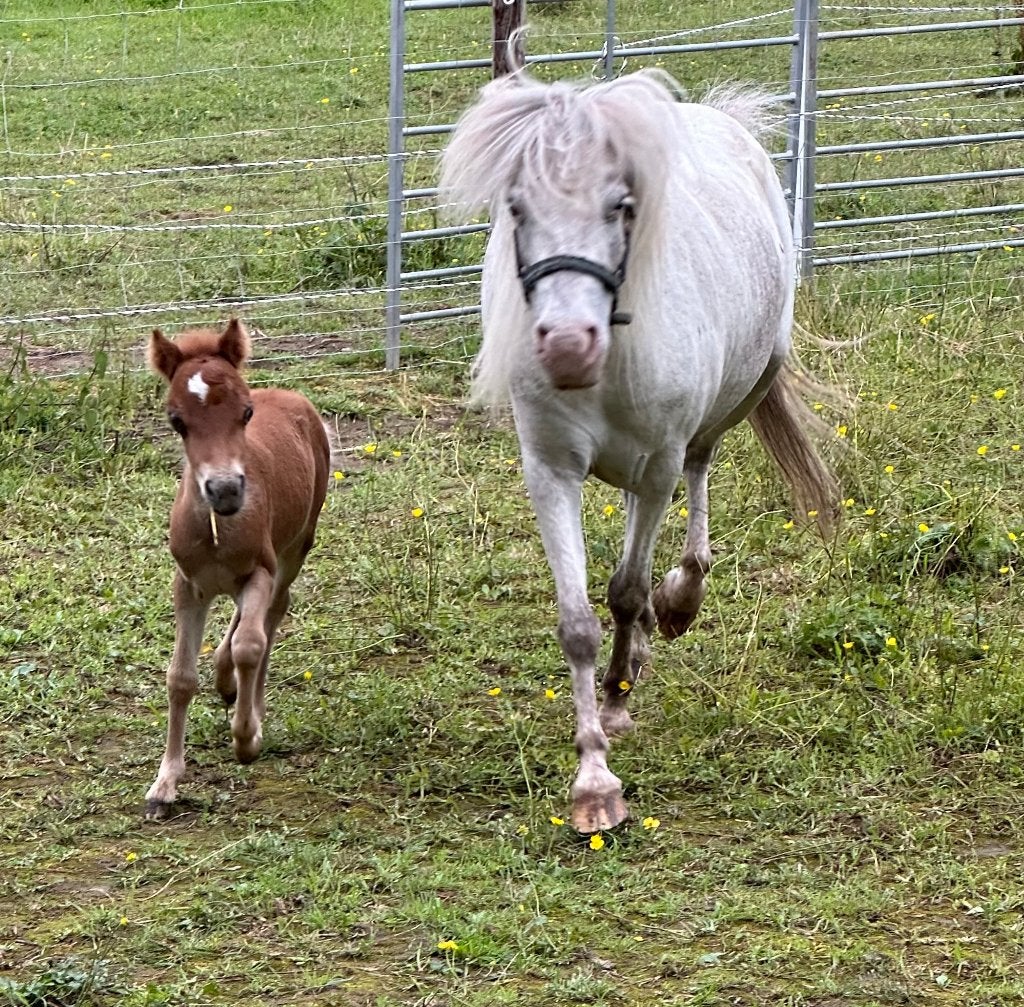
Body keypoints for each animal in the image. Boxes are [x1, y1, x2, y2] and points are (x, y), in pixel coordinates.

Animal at [144, 318, 330, 820]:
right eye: (176, 420)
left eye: (246, 413)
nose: (225, 490)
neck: (216, 528)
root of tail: (291, 396)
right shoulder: (187, 585)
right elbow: (180, 678)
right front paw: (165, 783)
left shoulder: (261, 570)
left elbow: (252, 644)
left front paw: (247, 738)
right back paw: (225, 681)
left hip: (295, 547)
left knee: (272, 617)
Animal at [440, 68, 839, 834]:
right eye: (517, 207)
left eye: (620, 205)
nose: (569, 345)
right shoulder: (551, 472)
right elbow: (579, 623)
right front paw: (593, 778)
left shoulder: (659, 465)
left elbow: (626, 588)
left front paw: (620, 697)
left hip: (741, 392)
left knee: (699, 475)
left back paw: (680, 598)